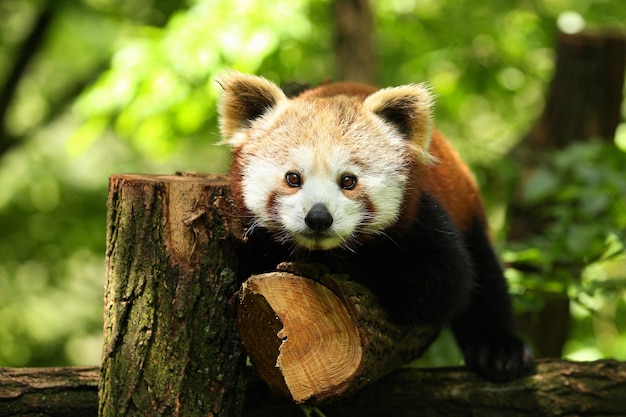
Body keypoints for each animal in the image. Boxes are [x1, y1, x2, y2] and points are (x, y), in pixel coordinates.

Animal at [217, 70, 532, 380]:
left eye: (348, 181)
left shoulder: (424, 219)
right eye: (293, 178)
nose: (319, 217)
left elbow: (444, 284)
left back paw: (500, 350)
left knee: (486, 276)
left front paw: (346, 264)